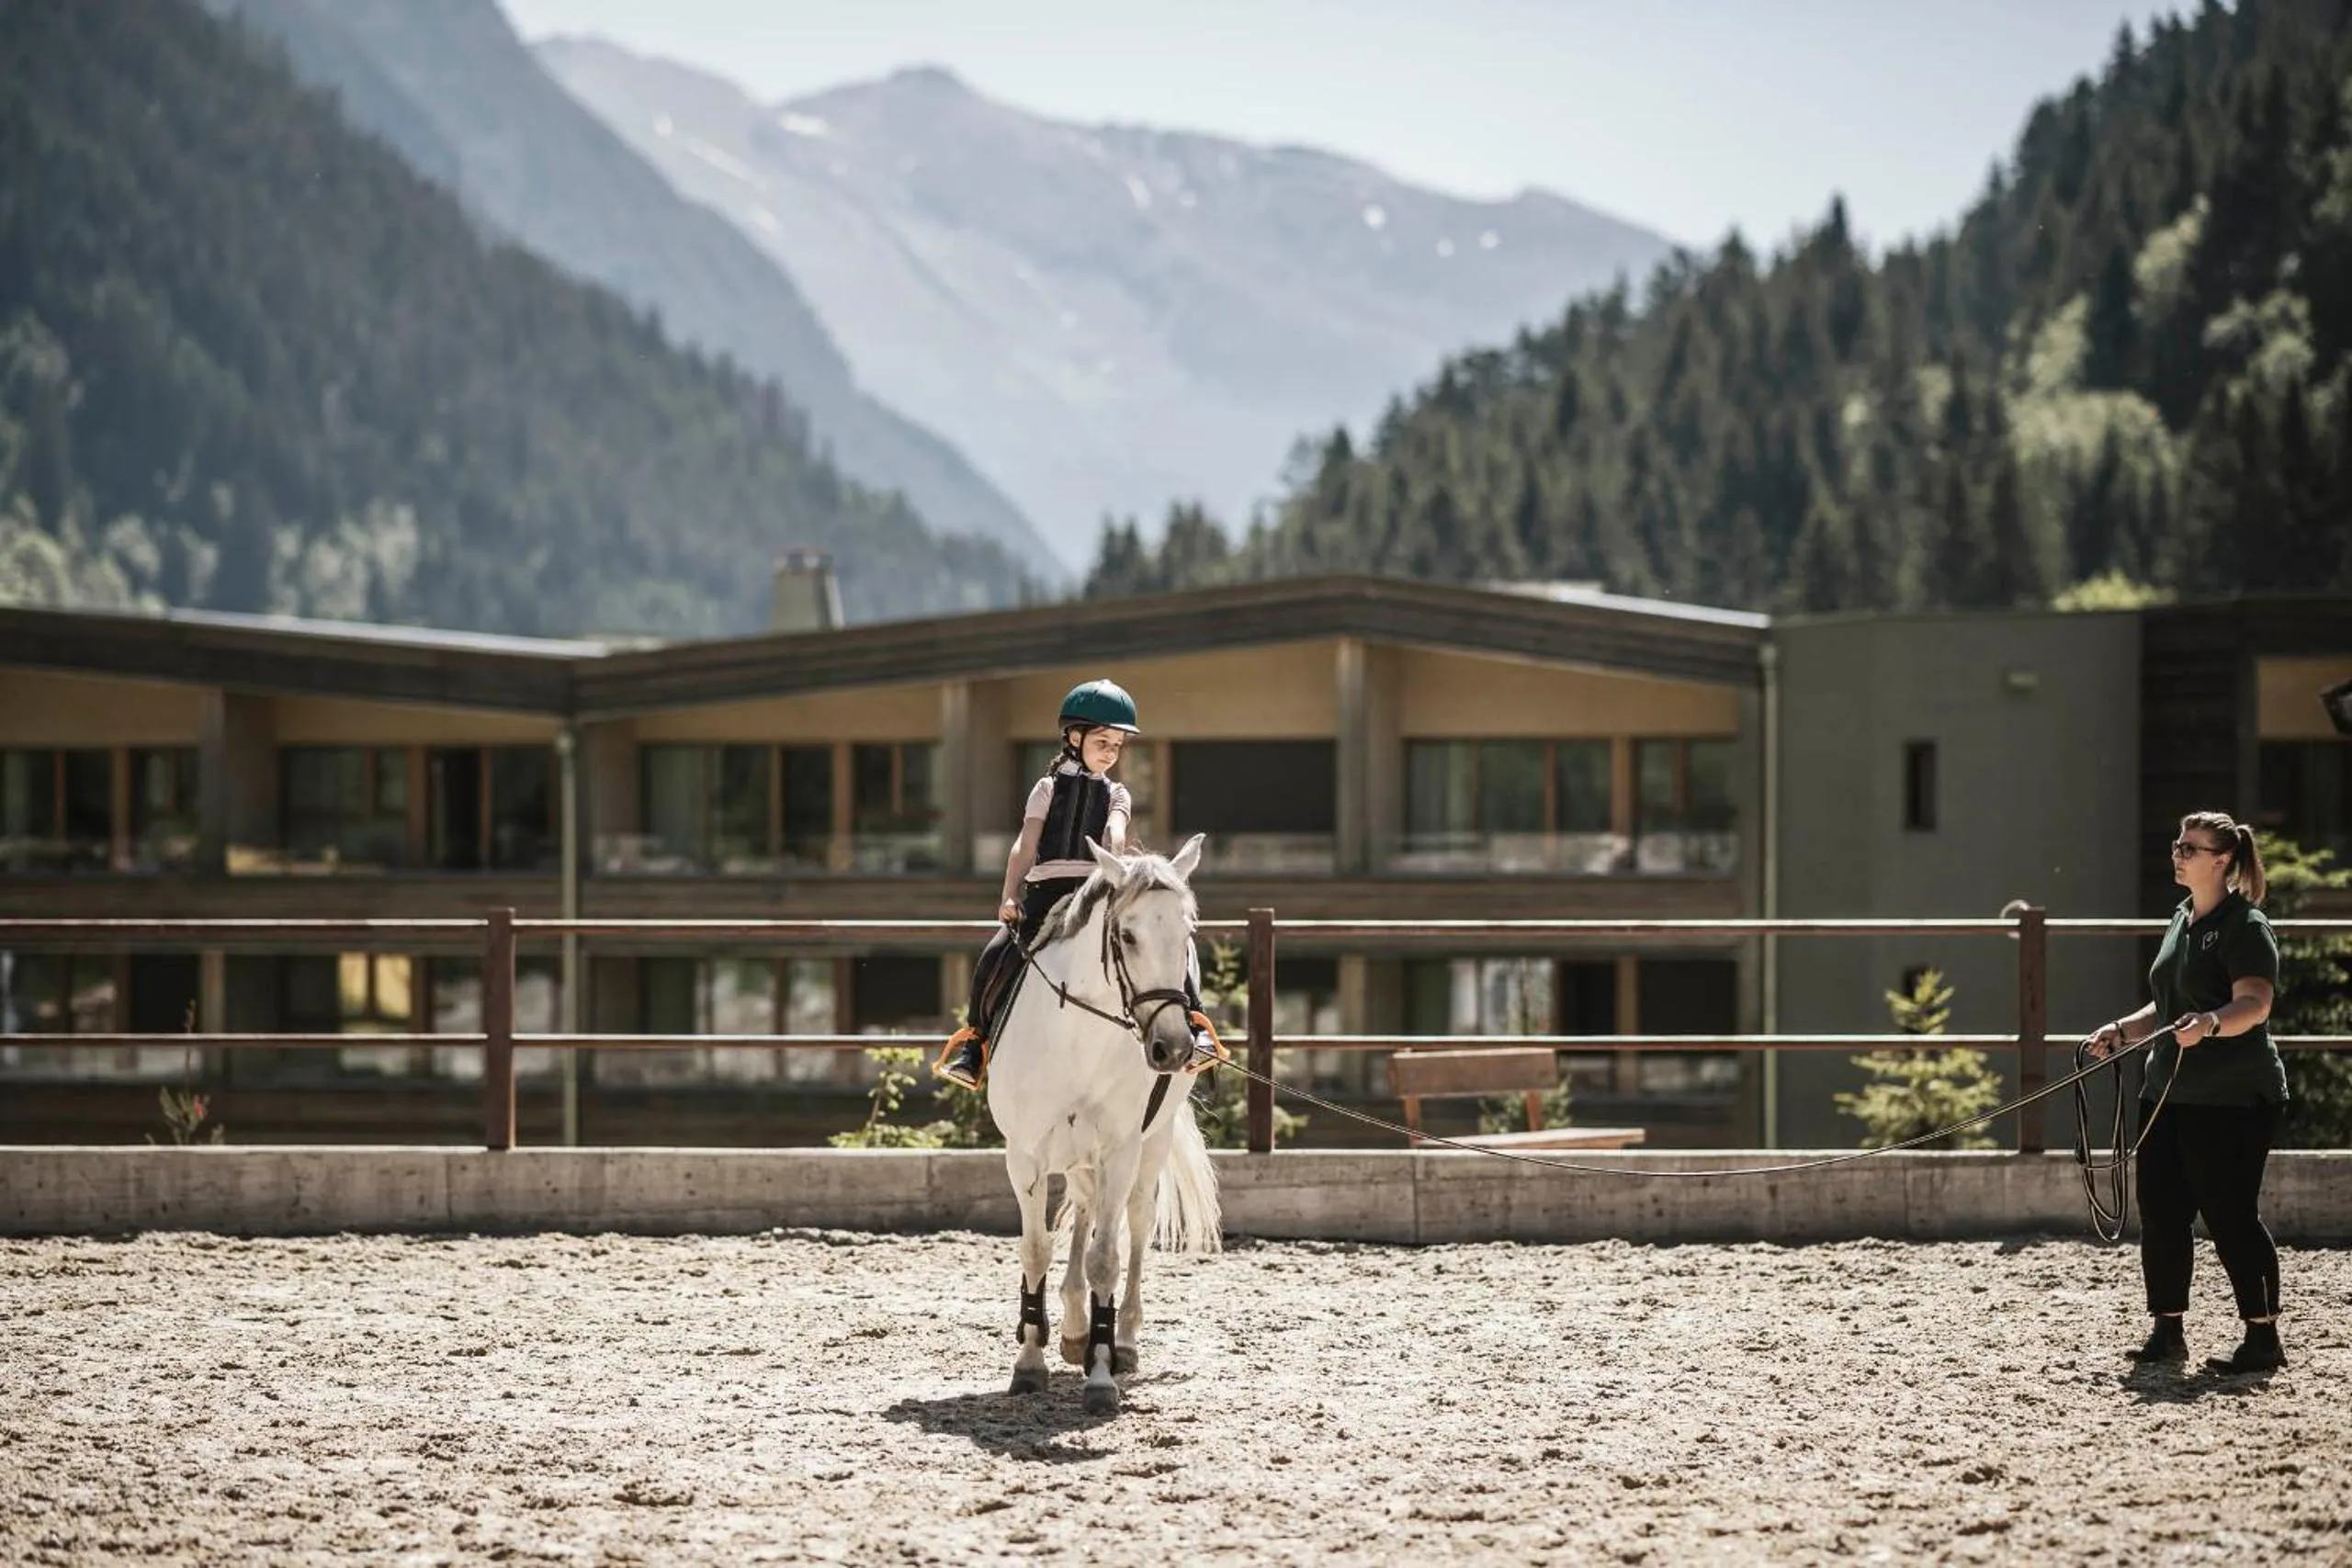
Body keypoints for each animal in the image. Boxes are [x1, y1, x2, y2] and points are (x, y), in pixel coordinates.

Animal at [984, 833, 1223, 1416]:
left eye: (1187, 933)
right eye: (1128, 934)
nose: (1172, 1047)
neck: (1077, 1035)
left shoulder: (1120, 1150)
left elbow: (1106, 1260)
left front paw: (1100, 1373)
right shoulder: (1025, 1154)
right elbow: (1036, 1248)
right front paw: (1030, 1362)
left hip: (1151, 1142)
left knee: (1135, 1223)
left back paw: (1124, 1341)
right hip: (1073, 1153)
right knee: (1084, 1208)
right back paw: (1071, 1328)